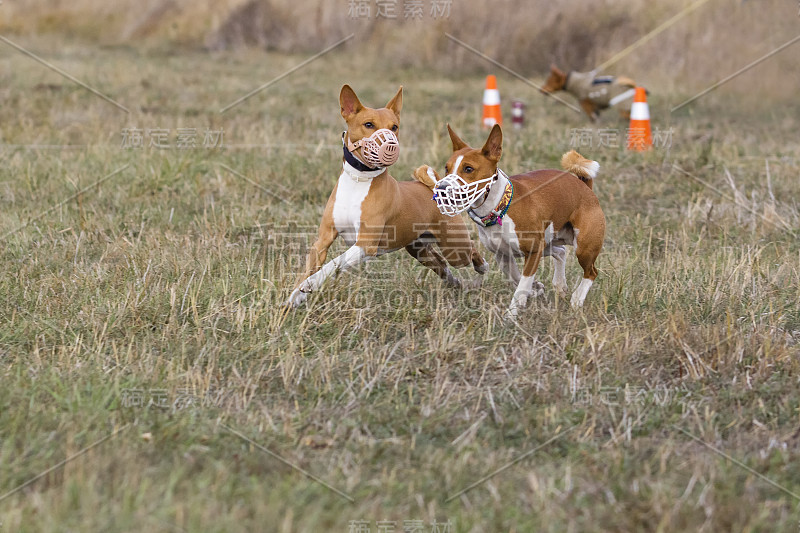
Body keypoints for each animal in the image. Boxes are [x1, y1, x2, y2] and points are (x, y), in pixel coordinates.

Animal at [288, 84, 488, 308]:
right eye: (368, 124)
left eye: (394, 127)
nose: (391, 142)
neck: (359, 180)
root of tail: (433, 188)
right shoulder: (323, 240)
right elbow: (308, 269)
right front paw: (294, 297)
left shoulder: (365, 244)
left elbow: (334, 263)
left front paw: (311, 284)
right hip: (419, 250)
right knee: (441, 264)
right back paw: (455, 283)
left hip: (455, 247)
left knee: (471, 252)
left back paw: (482, 269)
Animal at [412, 124, 608, 316]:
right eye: (447, 168)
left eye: (468, 169)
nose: (442, 188)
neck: (498, 208)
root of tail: (585, 187)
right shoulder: (503, 254)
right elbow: (516, 278)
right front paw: (535, 289)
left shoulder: (533, 251)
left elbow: (522, 285)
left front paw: (511, 314)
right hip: (550, 240)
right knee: (560, 251)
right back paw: (560, 285)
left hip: (583, 246)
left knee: (591, 272)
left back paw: (577, 299)